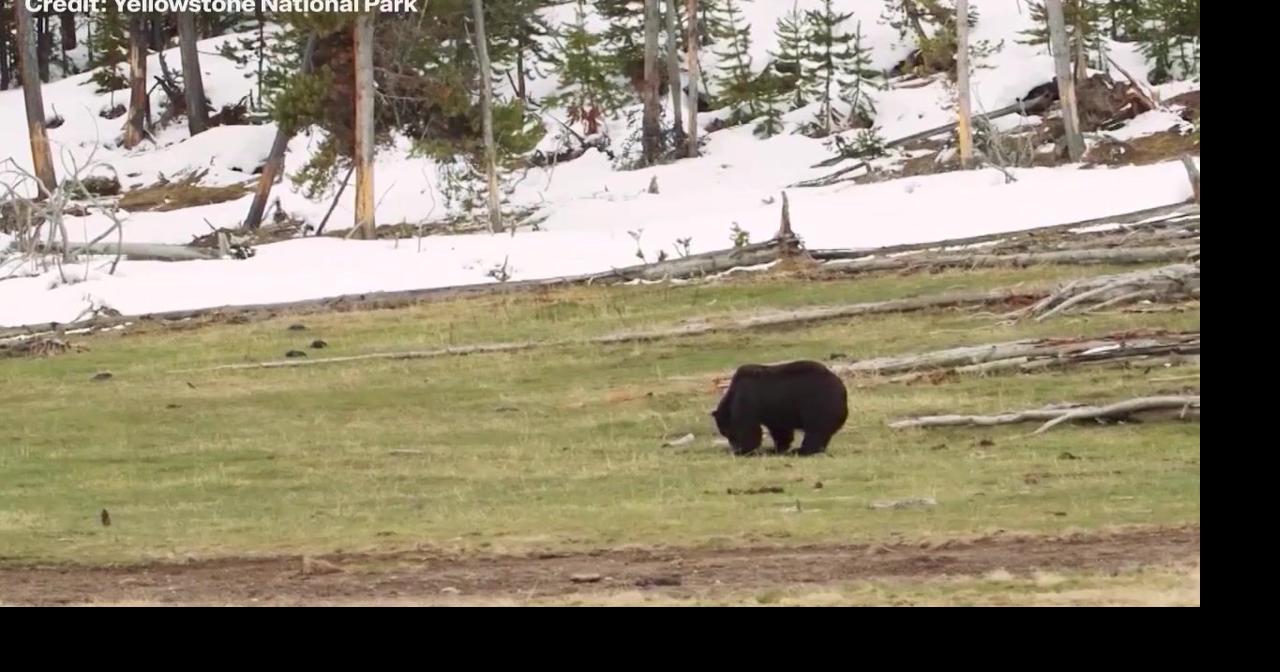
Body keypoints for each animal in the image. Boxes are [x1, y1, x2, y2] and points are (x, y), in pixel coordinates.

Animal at [710, 360, 849, 456]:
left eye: (727, 432)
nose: (734, 447)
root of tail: (841, 388)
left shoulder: (748, 400)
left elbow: (748, 428)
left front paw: (745, 450)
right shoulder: (775, 411)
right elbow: (780, 430)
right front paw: (777, 448)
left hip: (818, 403)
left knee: (815, 431)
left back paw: (801, 450)